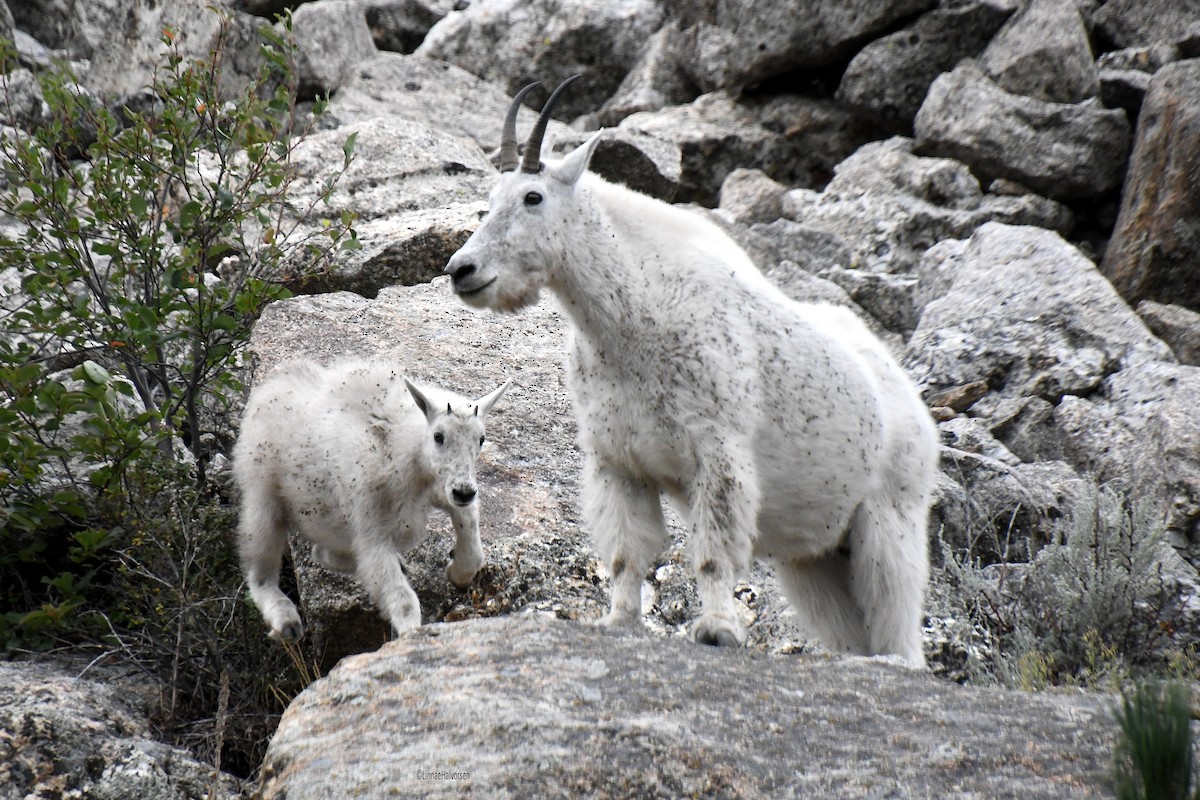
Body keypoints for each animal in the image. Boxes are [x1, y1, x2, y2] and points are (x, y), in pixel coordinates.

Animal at [232, 358, 509, 641]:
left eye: (481, 439)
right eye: (438, 436)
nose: (464, 492)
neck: (404, 451)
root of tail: (264, 393)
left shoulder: (438, 490)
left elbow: (469, 529)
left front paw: (458, 573)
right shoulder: (372, 526)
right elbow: (402, 598)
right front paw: (411, 635)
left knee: (322, 553)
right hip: (263, 496)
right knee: (260, 567)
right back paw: (286, 621)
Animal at [444, 77, 938, 665]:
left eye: (533, 197)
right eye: (488, 202)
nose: (460, 270)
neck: (631, 319)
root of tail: (911, 398)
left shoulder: (716, 451)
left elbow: (711, 553)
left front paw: (717, 630)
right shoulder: (618, 462)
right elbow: (626, 554)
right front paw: (617, 621)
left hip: (892, 514)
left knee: (897, 613)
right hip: (815, 556)